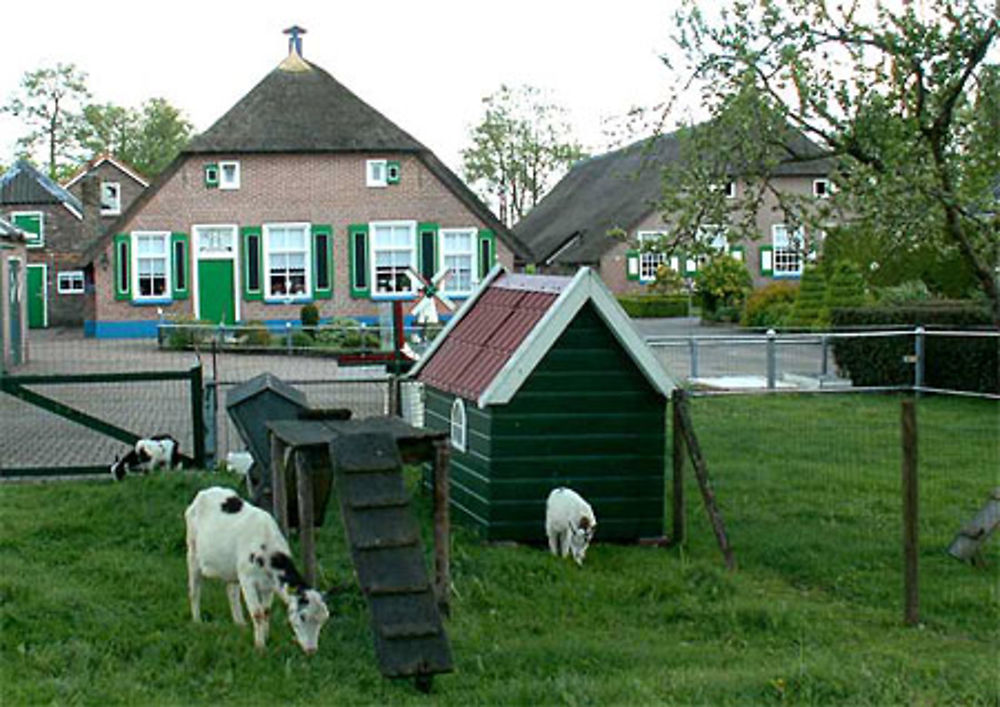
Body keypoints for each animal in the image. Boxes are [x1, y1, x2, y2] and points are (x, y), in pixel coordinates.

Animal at [184, 490, 332, 656]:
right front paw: (260, 646)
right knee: (194, 590)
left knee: (232, 591)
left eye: (323, 619)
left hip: (231, 568)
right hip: (192, 551)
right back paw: (197, 621)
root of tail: (204, 493)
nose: (312, 650)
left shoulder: (269, 586)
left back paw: (240, 623)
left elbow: (266, 611)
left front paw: (266, 637)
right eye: (302, 616)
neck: (268, 553)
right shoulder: (247, 580)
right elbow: (257, 613)